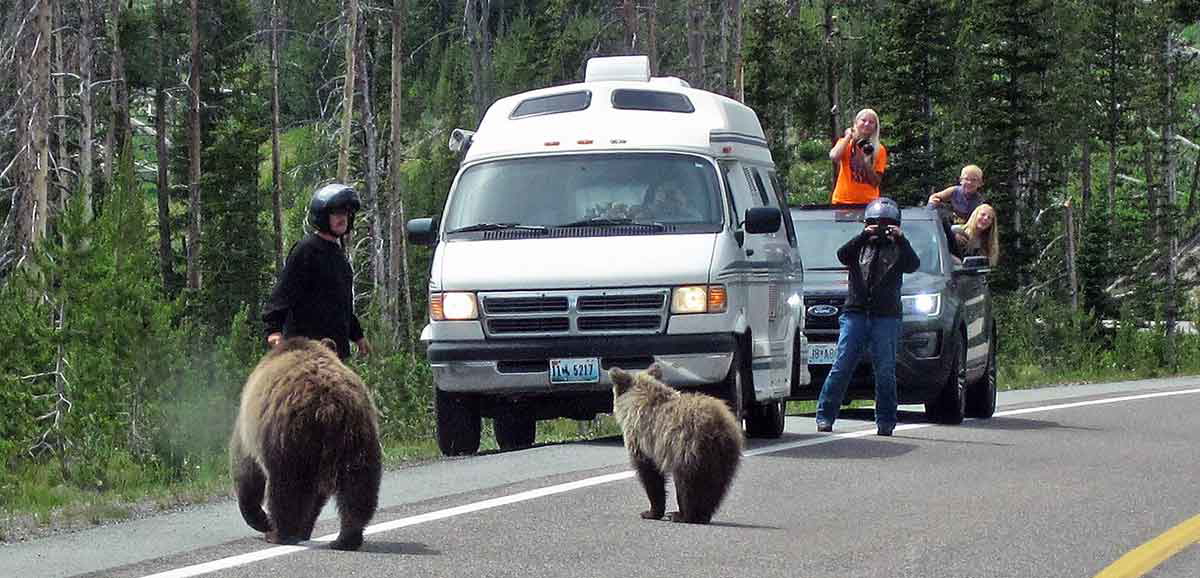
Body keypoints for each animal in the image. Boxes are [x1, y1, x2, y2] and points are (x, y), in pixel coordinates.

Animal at [229, 337, 382, 550]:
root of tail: (329, 405)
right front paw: (303, 527)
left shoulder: (250, 433)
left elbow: (247, 472)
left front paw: (261, 520)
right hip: (356, 436)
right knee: (358, 486)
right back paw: (346, 538)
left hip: (288, 440)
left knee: (286, 487)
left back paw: (277, 533)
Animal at [609, 364, 742, 524]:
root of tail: (717, 426)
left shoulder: (642, 441)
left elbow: (650, 475)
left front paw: (650, 512)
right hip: (723, 455)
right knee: (716, 485)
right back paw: (703, 514)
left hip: (688, 450)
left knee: (686, 484)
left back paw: (681, 515)